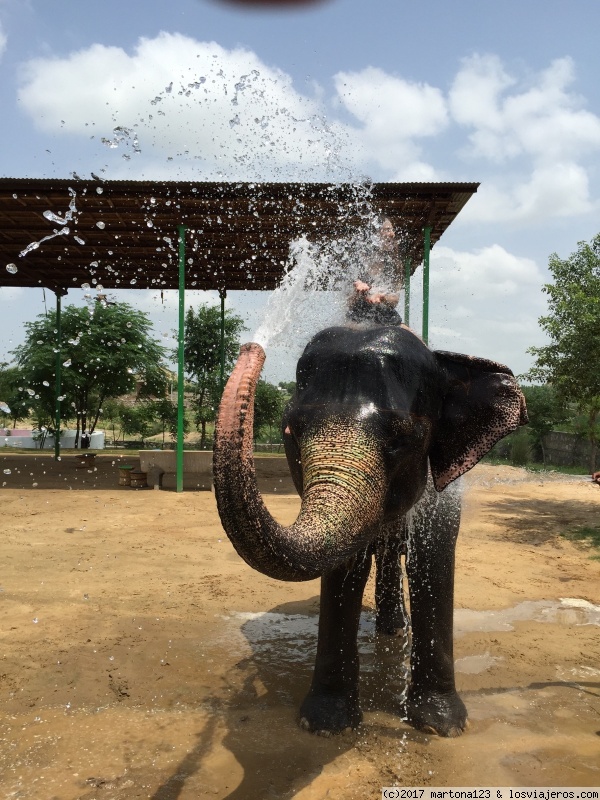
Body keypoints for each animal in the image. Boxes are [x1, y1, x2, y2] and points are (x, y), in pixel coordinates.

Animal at [213, 324, 528, 736]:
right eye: (292, 431)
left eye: (401, 438)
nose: (251, 347)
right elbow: (345, 573)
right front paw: (326, 725)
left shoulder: (441, 501)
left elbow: (431, 564)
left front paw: (442, 726)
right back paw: (391, 629)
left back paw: (395, 631)